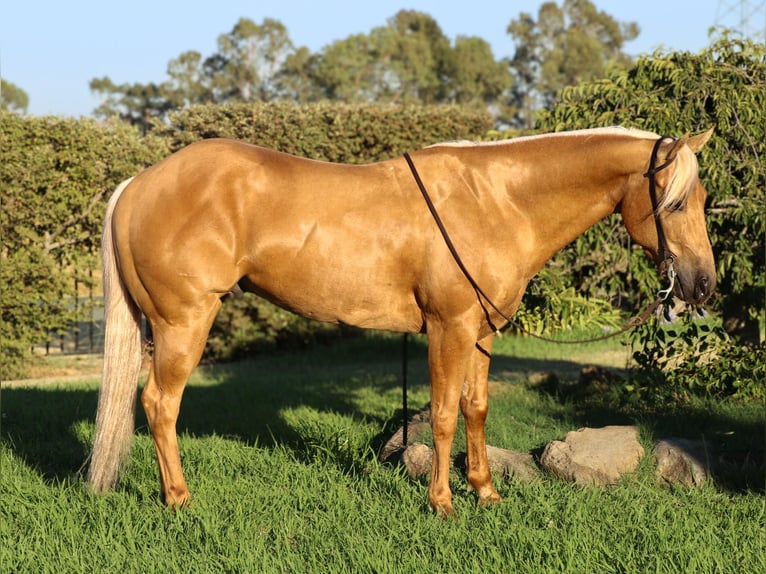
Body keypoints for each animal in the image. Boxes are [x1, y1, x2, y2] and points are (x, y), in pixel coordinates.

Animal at [88, 126, 716, 517]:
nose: (702, 284)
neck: (496, 202)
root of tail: (138, 185)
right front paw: (443, 503)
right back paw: (178, 499)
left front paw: (485, 493)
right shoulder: (448, 327)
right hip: (184, 324)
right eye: (676, 202)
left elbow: (475, 409)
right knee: (159, 405)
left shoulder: (481, 333)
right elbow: (441, 415)